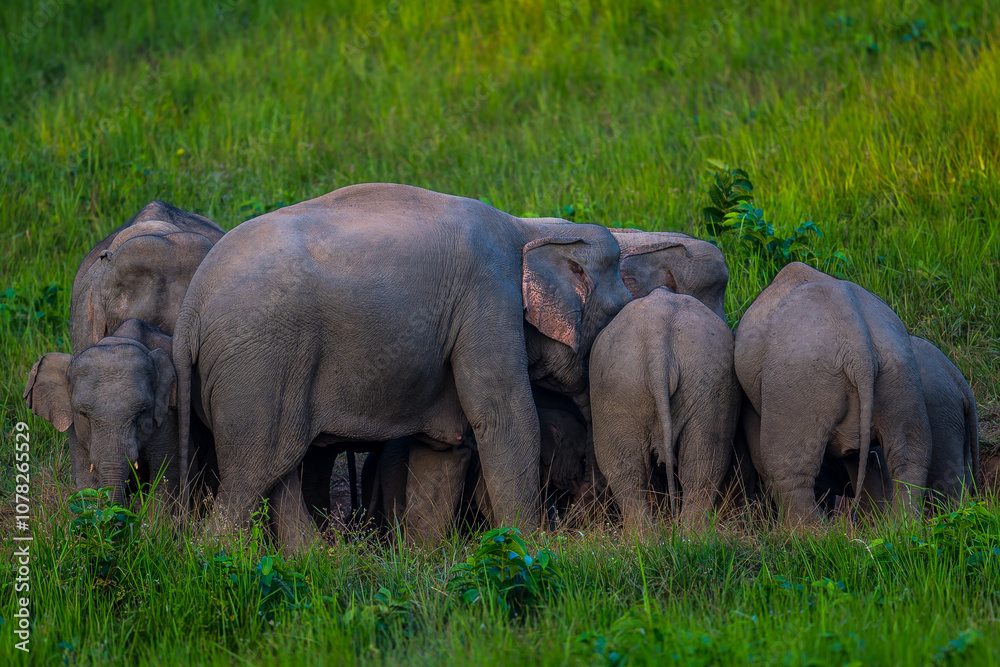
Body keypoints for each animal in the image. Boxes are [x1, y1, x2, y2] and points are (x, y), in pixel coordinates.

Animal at [174, 183, 635, 547]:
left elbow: (442, 446)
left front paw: (423, 555)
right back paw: (220, 554)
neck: (531, 228)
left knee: (277, 465)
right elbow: (504, 417)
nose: (595, 525)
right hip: (260, 363)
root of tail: (190, 309)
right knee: (254, 469)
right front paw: (532, 546)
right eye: (618, 312)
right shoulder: (488, 298)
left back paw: (318, 558)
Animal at [734, 262, 931, 525]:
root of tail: (859, 348)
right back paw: (899, 527)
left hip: (800, 379)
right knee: (909, 456)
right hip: (901, 373)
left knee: (787, 466)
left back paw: (808, 533)